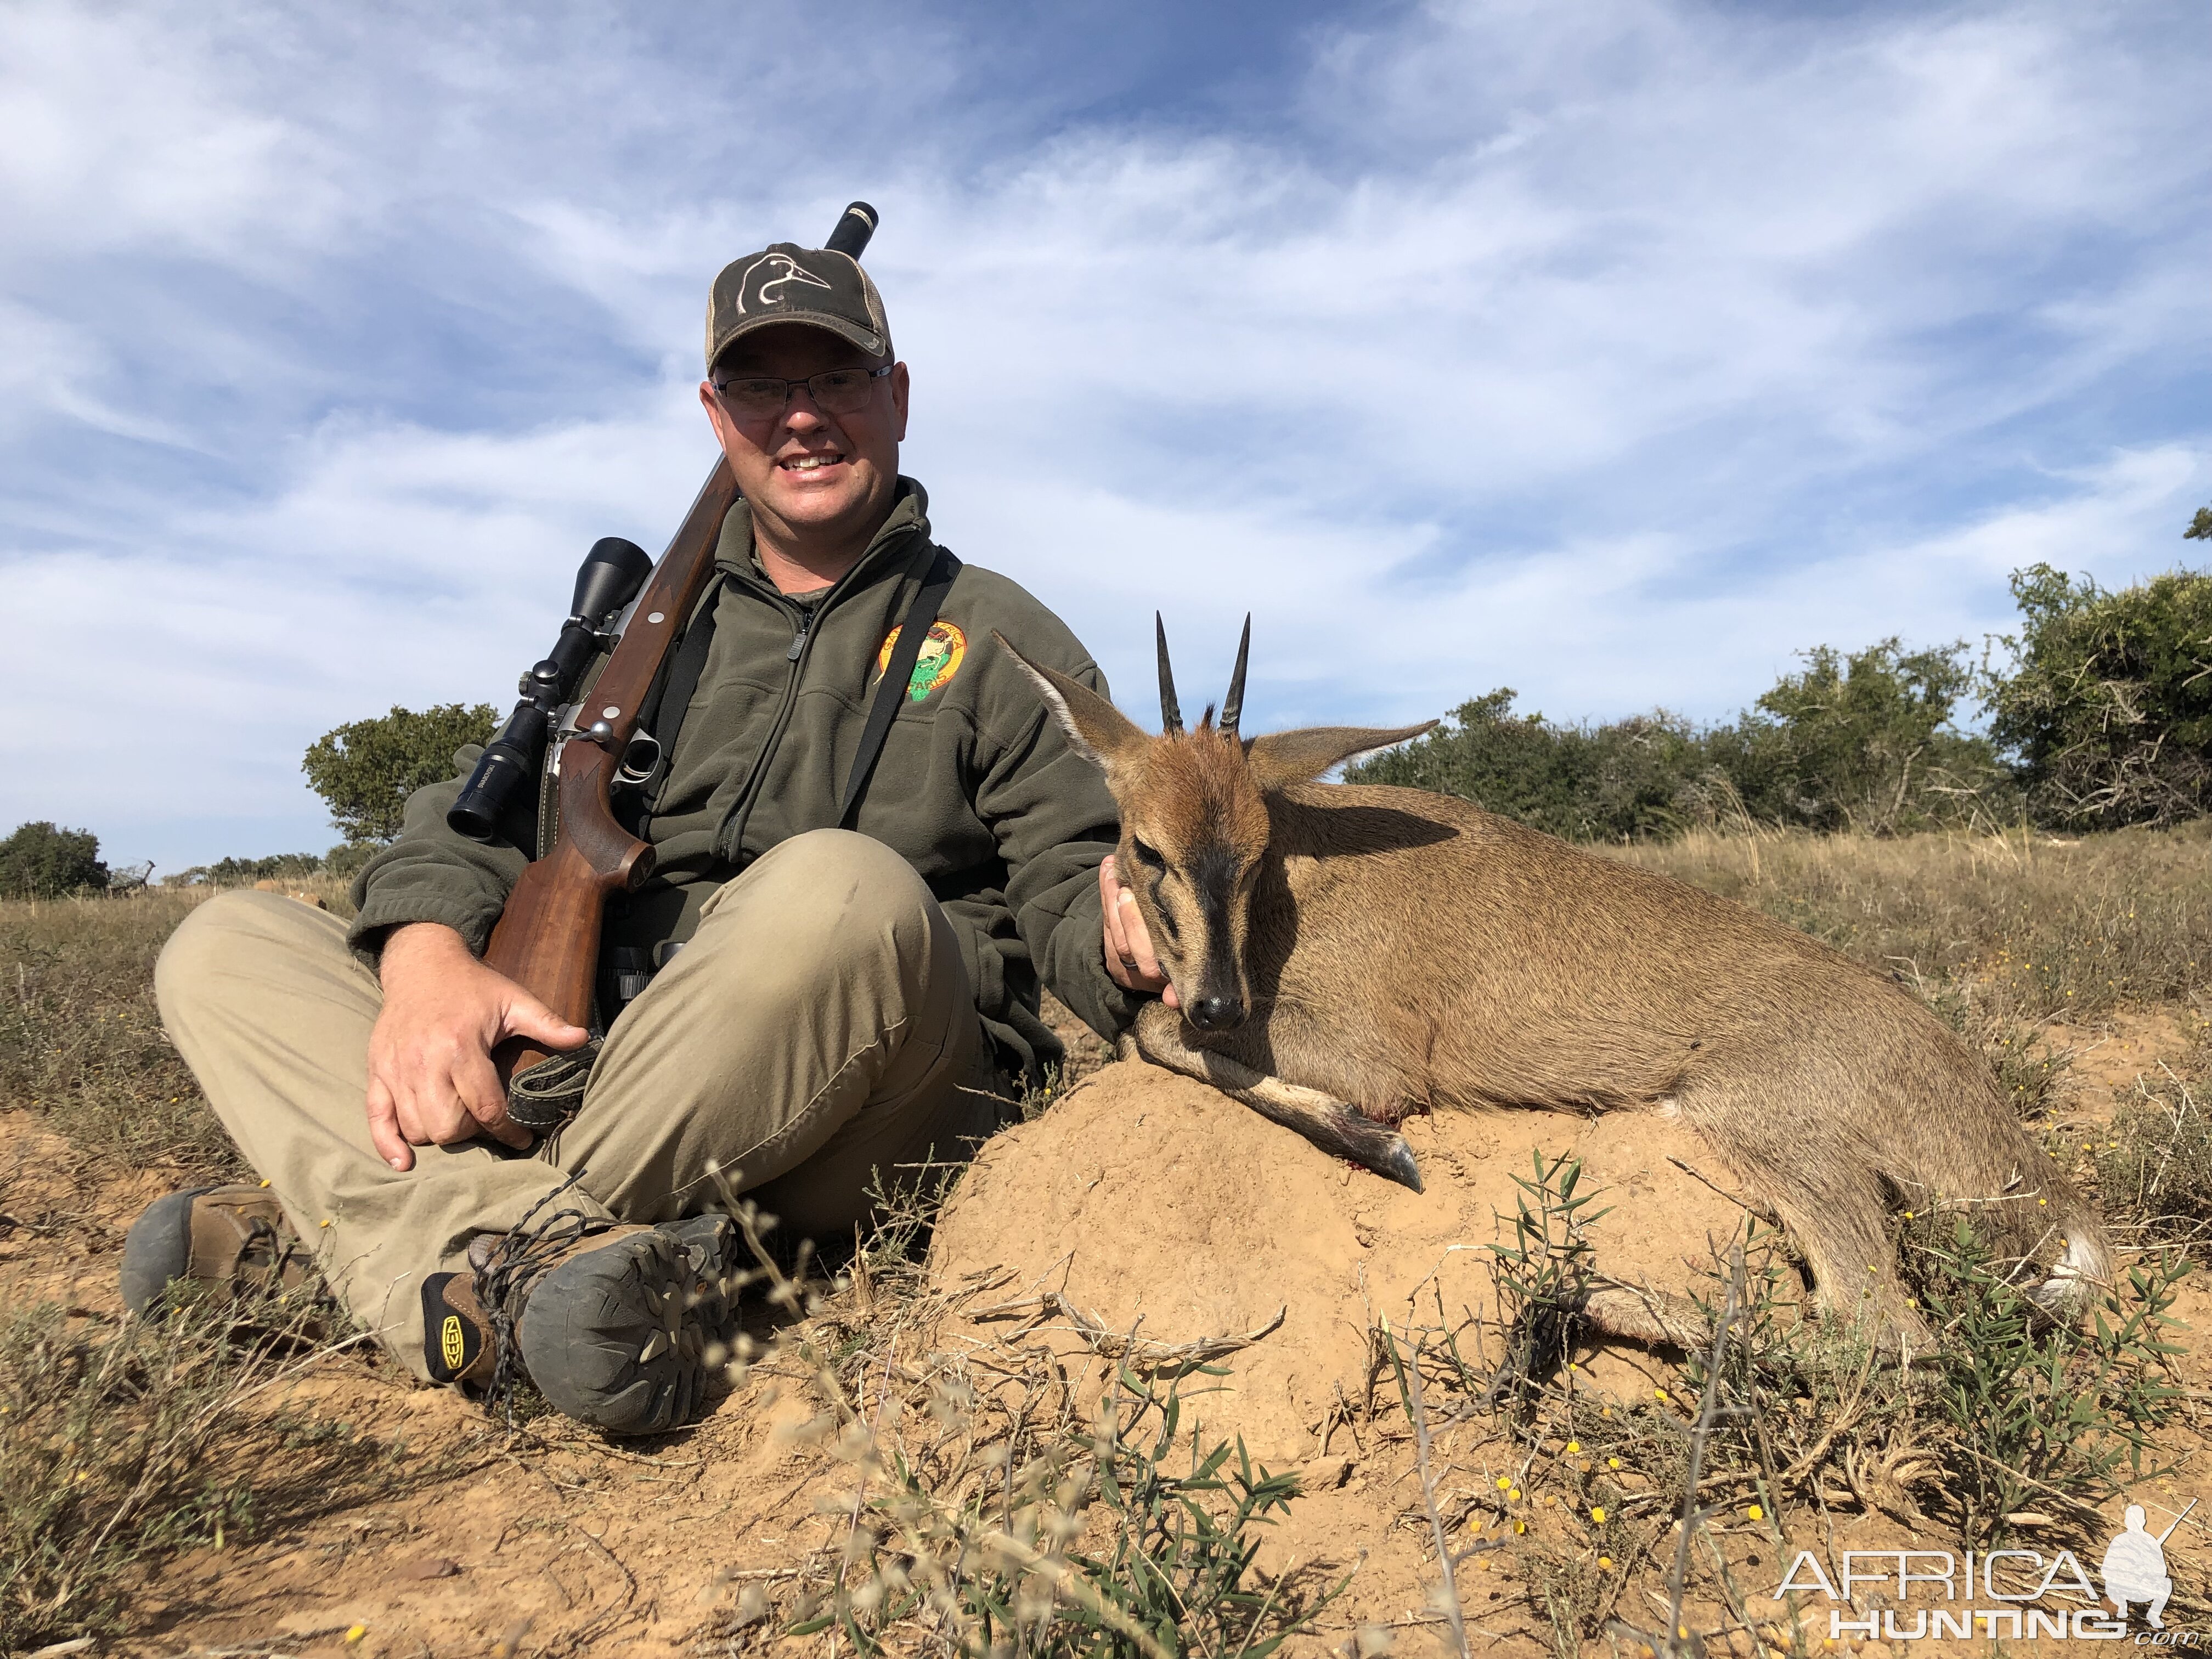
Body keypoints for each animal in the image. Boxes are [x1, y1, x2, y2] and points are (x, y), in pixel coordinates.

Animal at [1004, 624, 2106, 1353]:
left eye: (1254, 846)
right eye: (1147, 847)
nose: (1222, 1004)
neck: (1304, 884)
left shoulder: (1374, 1057)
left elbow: (1153, 1031)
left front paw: (1381, 1146)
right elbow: (1155, 1026)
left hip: (1767, 1128)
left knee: (1883, 1334)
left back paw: (1575, 1301)